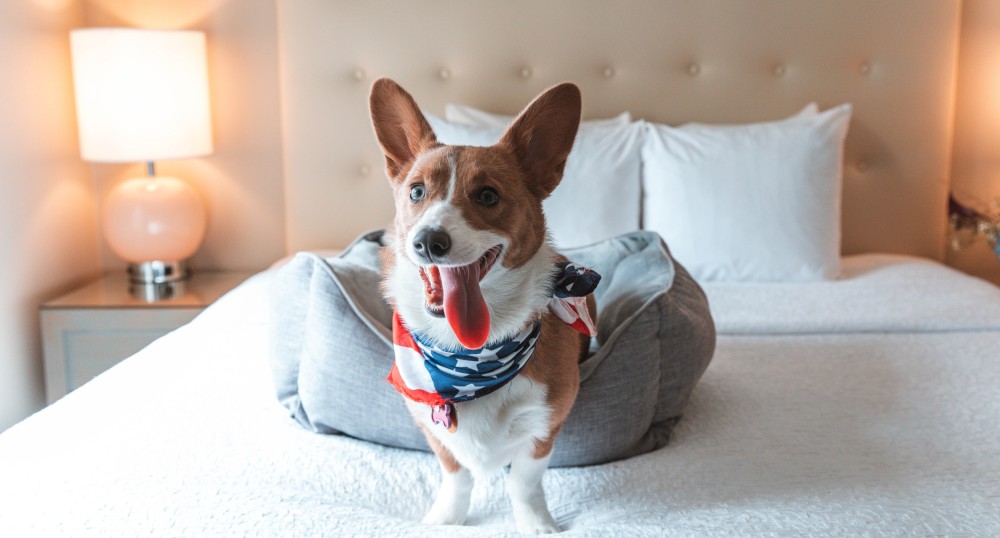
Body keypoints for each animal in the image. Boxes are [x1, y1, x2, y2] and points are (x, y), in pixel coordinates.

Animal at [370, 78, 596, 532]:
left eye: (488, 196)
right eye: (416, 191)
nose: (429, 241)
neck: (470, 357)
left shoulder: (545, 426)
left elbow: (524, 482)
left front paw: (537, 526)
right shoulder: (431, 425)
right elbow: (456, 474)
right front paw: (446, 519)